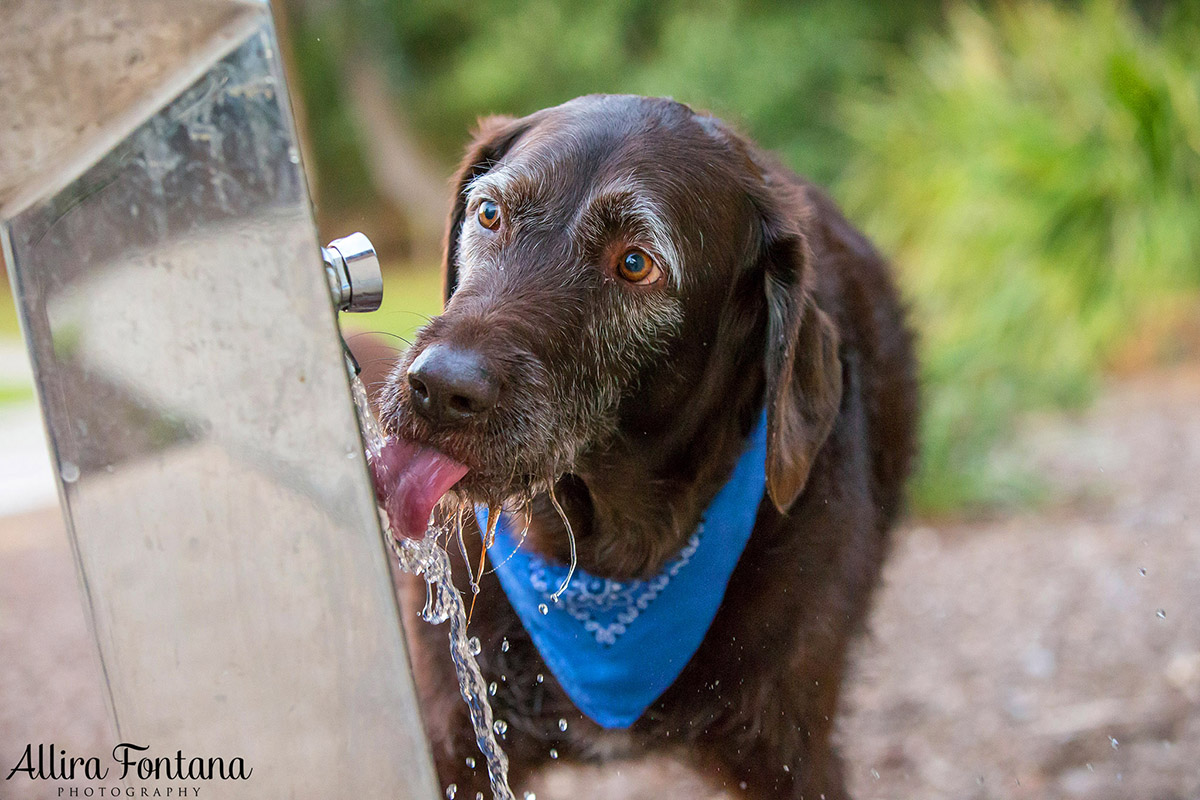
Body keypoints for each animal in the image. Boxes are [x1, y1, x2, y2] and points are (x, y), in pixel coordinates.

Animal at [379, 95, 912, 800]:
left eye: (636, 264)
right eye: (489, 213)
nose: (438, 389)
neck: (606, 566)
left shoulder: (791, 754)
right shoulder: (455, 735)